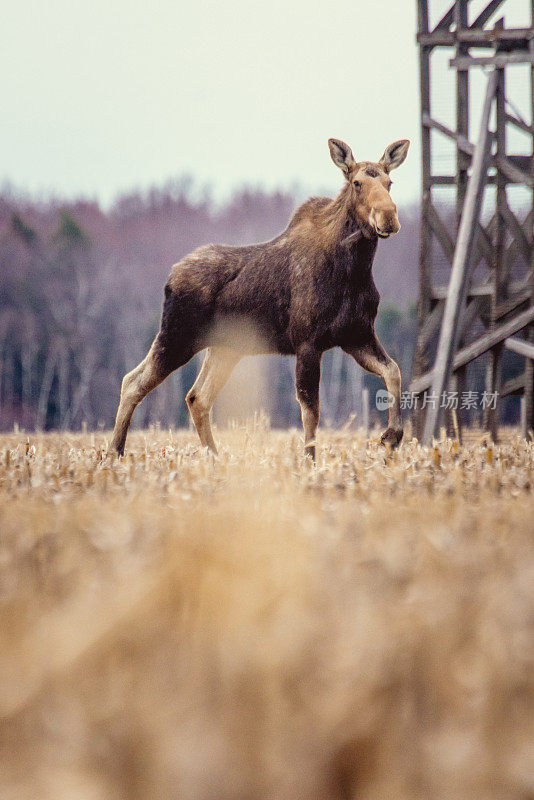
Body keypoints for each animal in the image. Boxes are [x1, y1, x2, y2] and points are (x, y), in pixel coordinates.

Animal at [112, 139, 410, 456]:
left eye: (390, 182)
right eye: (357, 183)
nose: (388, 217)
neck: (355, 269)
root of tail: (170, 277)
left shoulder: (356, 335)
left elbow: (393, 370)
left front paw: (392, 436)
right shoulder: (307, 342)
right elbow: (311, 412)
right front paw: (310, 460)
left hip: (224, 347)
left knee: (197, 397)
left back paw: (214, 457)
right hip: (177, 336)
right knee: (133, 382)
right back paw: (115, 452)